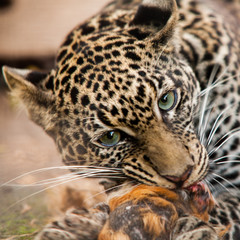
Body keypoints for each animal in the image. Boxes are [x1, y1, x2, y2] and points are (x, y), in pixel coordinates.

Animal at [2, 0, 240, 238]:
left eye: (167, 100)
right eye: (110, 137)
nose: (181, 176)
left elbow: (222, 209)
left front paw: (192, 228)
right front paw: (71, 227)